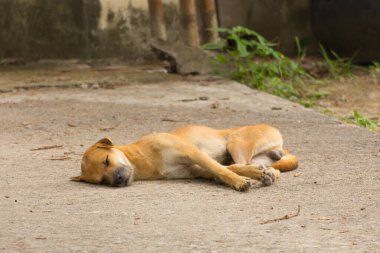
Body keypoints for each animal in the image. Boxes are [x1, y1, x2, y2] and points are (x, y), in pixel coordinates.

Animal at [70, 124, 296, 192]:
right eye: (102, 181)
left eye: (106, 161)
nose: (117, 181)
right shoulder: (196, 169)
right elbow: (224, 170)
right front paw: (249, 176)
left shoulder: (193, 153)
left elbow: (223, 169)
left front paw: (240, 182)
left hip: (236, 141)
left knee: (242, 161)